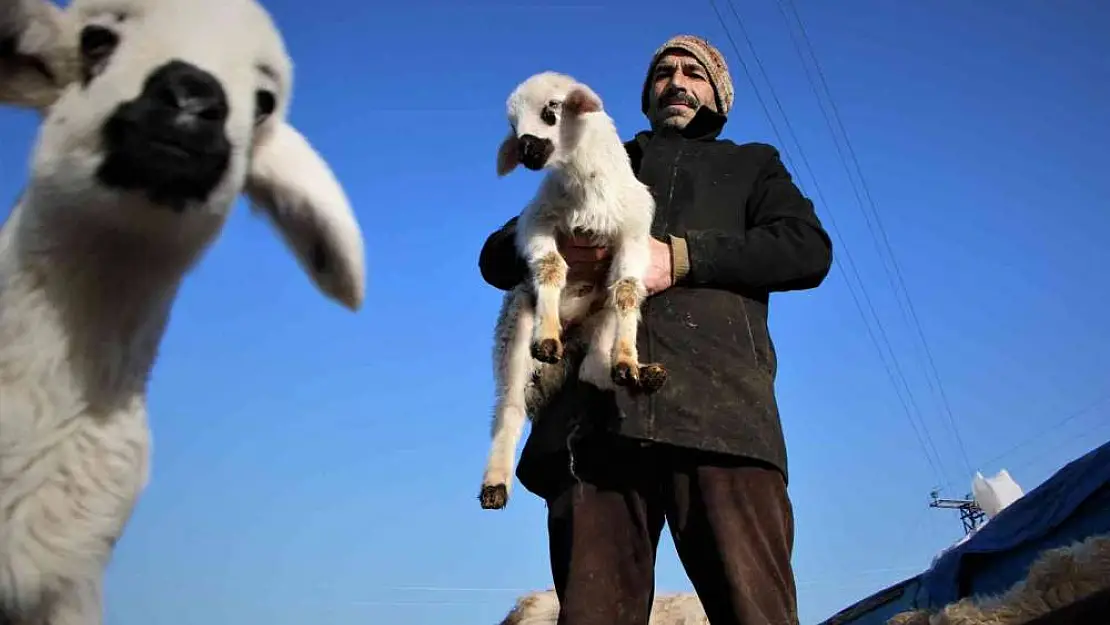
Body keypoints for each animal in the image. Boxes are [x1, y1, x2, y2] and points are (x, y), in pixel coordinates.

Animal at [479, 71, 666, 510]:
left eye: (553, 109)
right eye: (512, 125)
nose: (527, 149)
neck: (587, 189)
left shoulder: (633, 235)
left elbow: (628, 290)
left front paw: (628, 358)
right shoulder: (537, 221)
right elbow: (550, 267)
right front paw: (547, 338)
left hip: (598, 317)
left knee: (591, 370)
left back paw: (634, 375)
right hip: (514, 320)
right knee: (510, 405)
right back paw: (495, 484)